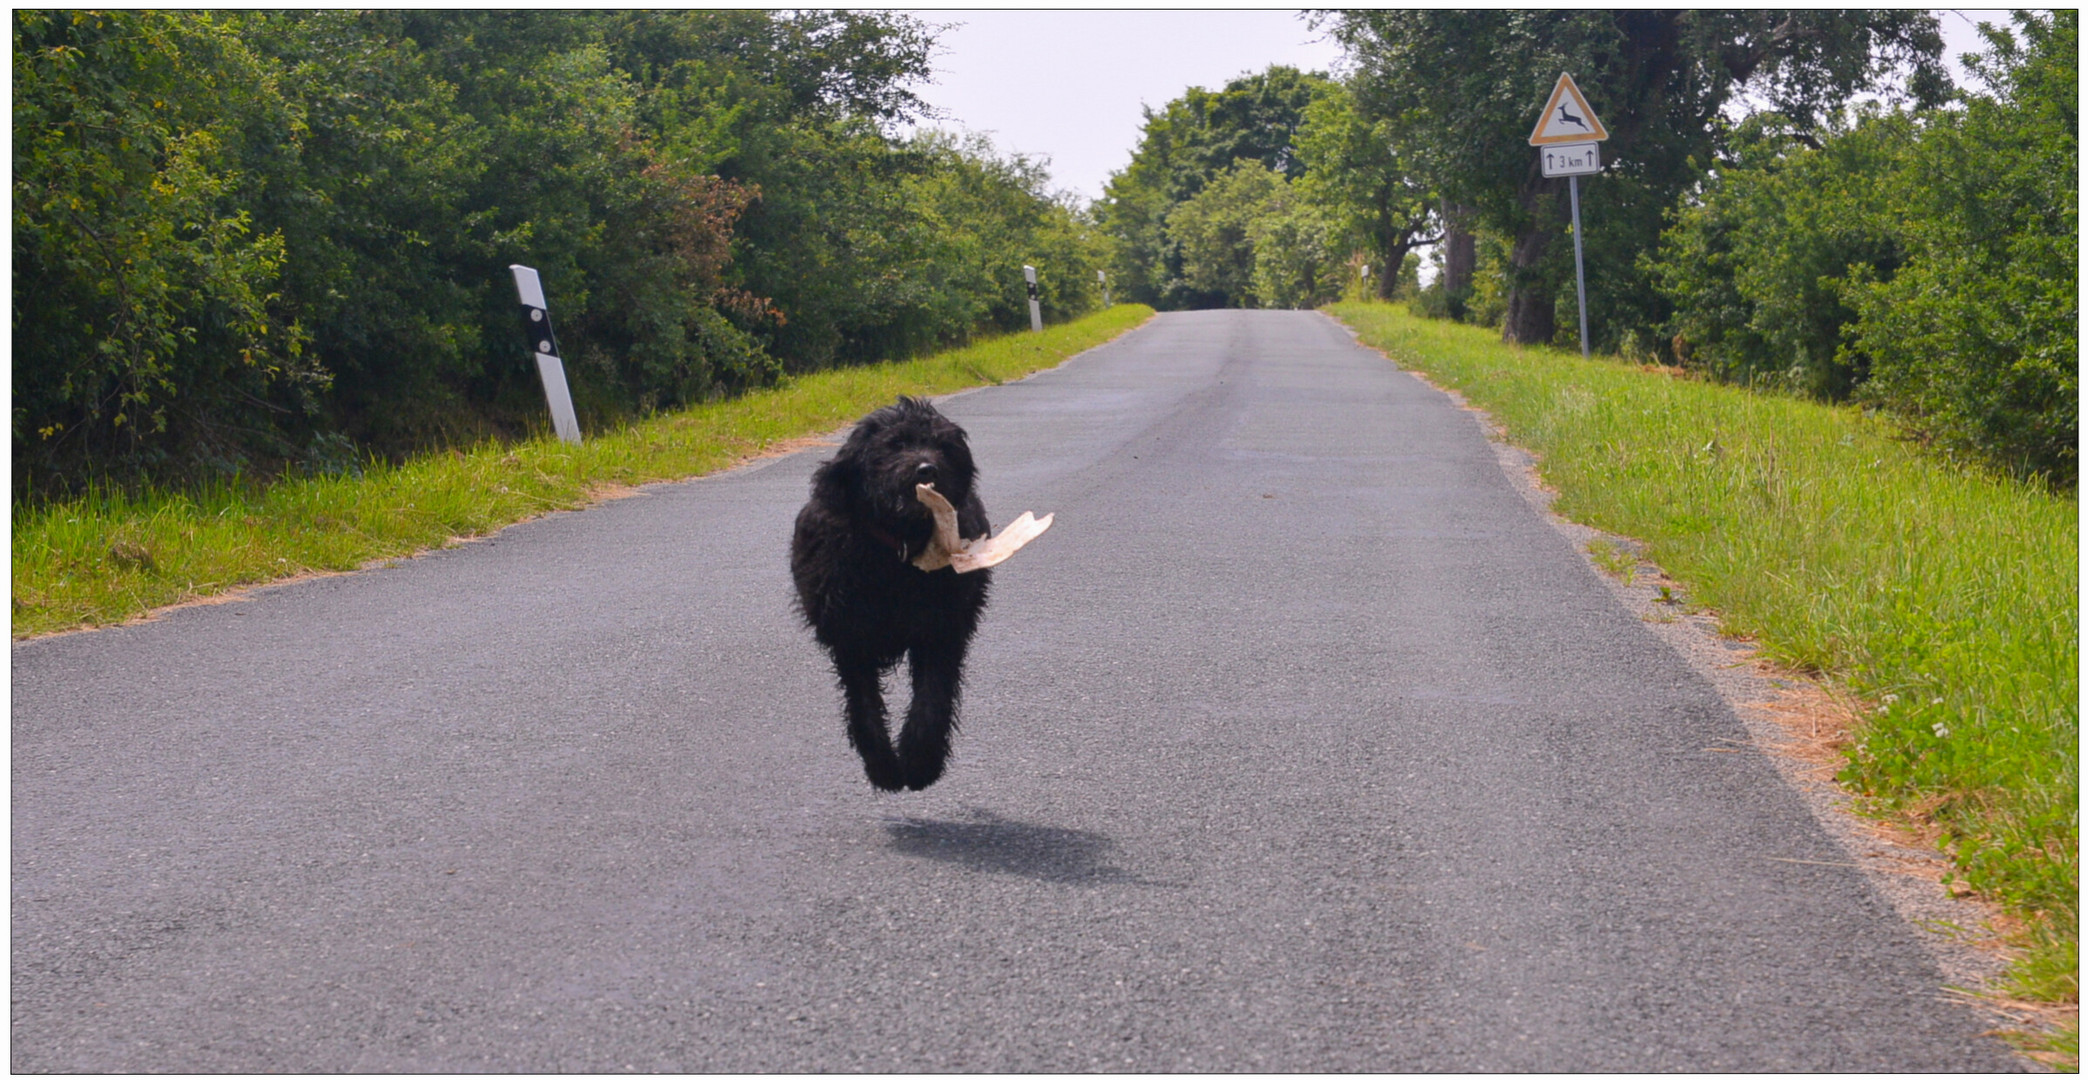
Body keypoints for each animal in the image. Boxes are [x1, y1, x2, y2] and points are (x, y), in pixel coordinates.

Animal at [797, 390, 993, 785]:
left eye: (942, 446)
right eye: (895, 444)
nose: (927, 469)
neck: (898, 549)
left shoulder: (942, 632)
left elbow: (933, 698)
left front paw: (920, 760)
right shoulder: (851, 639)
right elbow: (864, 704)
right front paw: (883, 765)